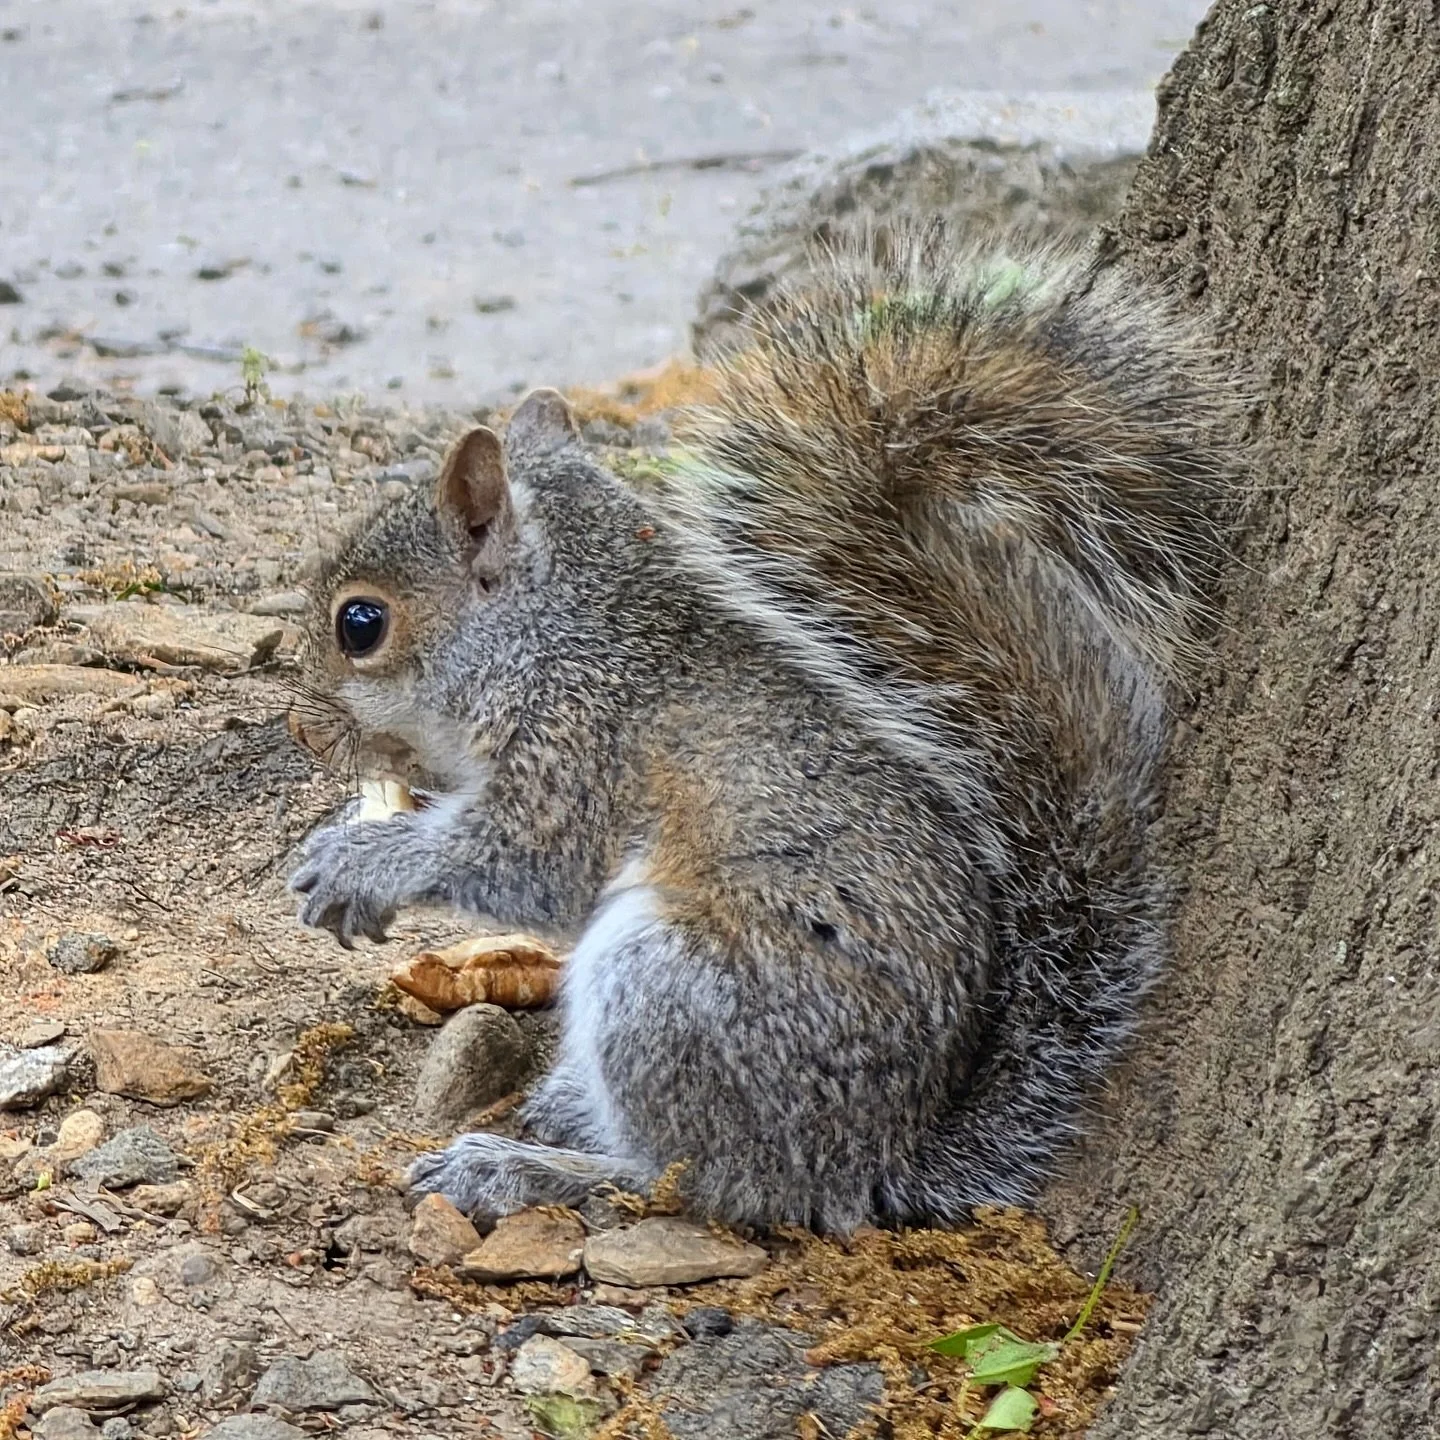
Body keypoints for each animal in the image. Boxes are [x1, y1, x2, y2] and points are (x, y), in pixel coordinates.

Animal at [286, 222, 1237, 1233]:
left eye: (361, 624)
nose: (306, 733)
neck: (558, 632)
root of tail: (873, 1162)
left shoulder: (582, 752)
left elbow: (522, 861)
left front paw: (361, 860)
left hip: (669, 988)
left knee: (703, 1183)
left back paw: (523, 1170)